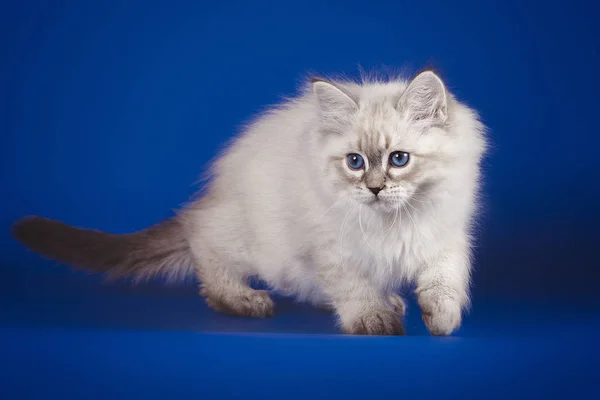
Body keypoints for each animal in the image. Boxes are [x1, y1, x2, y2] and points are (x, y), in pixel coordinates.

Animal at [10, 69, 488, 334]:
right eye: (355, 162)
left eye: (398, 159)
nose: (373, 188)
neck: (393, 222)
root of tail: (218, 191)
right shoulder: (332, 247)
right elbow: (353, 286)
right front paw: (371, 320)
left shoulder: (444, 237)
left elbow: (446, 281)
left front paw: (439, 317)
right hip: (254, 240)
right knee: (203, 241)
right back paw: (243, 301)